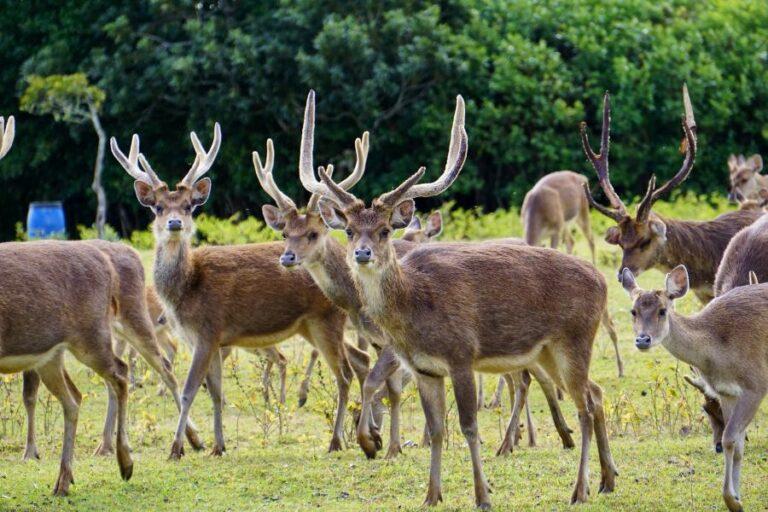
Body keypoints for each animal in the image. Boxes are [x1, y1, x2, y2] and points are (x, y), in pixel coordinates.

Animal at [0, 241, 133, 495]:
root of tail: (106, 264)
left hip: (91, 335)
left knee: (121, 371)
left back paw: (125, 464)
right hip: (50, 358)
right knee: (73, 399)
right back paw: (64, 480)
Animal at [111, 123, 369, 457]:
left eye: (189, 206)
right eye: (157, 207)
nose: (175, 223)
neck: (186, 290)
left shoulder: (208, 330)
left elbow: (189, 390)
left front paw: (177, 448)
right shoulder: (208, 340)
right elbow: (216, 393)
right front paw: (218, 446)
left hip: (327, 319)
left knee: (344, 373)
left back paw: (336, 440)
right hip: (312, 326)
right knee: (361, 361)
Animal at [301, 94, 617, 508]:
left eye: (384, 230)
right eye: (350, 230)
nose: (362, 253)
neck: (416, 306)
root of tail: (602, 281)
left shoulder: (462, 355)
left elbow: (468, 425)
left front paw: (483, 495)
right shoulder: (424, 368)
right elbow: (436, 429)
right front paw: (431, 495)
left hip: (575, 339)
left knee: (584, 404)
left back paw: (579, 489)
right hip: (548, 350)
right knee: (596, 392)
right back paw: (608, 479)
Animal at [622, 265, 768, 512]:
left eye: (662, 310)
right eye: (633, 311)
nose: (642, 340)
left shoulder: (756, 384)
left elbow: (729, 437)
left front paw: (732, 500)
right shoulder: (726, 392)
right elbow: (736, 444)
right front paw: (737, 499)